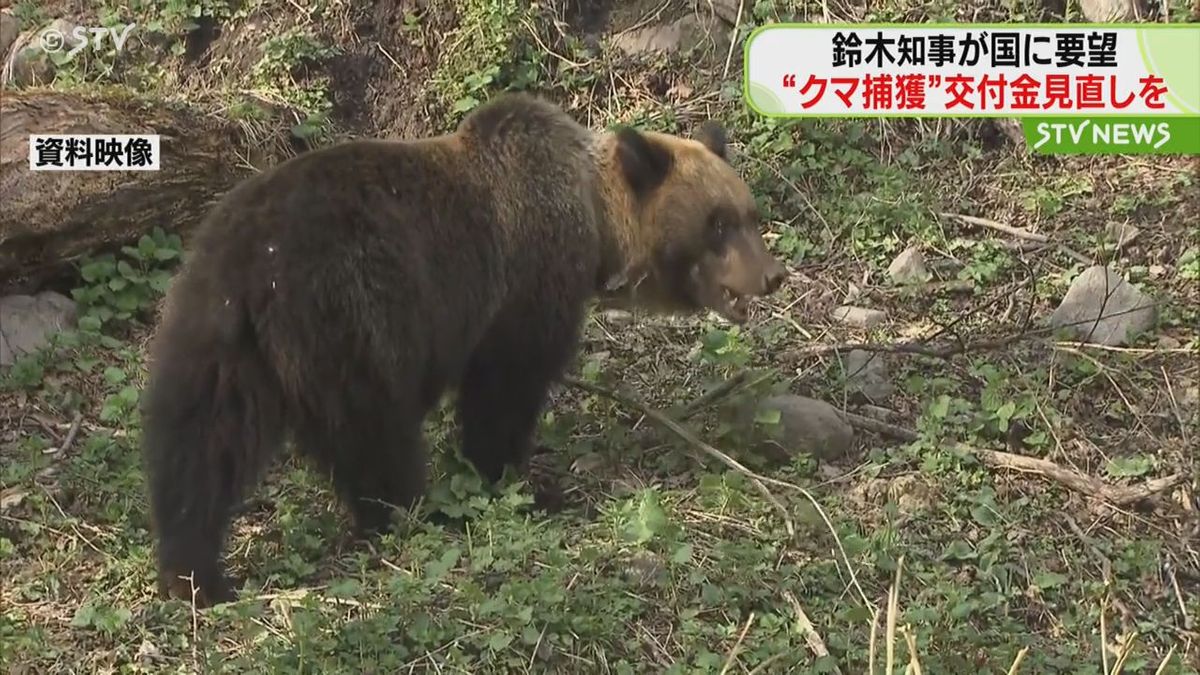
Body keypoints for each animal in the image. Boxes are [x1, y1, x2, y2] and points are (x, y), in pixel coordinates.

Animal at [142, 90, 787, 605]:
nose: (771, 275)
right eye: (717, 223)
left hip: (213, 335)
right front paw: (517, 482)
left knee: (198, 445)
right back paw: (408, 511)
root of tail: (254, 267)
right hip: (349, 316)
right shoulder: (521, 283)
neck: (594, 219)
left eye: (749, 214)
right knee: (372, 431)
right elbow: (504, 389)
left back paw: (193, 572)